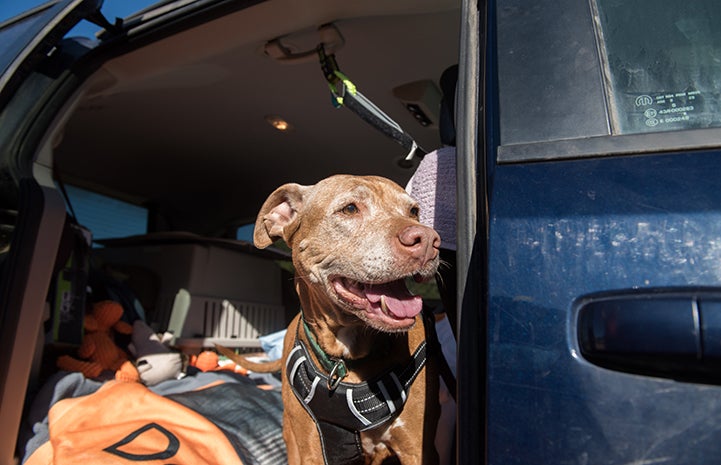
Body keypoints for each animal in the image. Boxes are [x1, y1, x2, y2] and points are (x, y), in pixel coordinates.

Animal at [222, 175, 442, 464]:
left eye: (414, 211)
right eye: (349, 209)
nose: (428, 240)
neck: (347, 360)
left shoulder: (417, 448)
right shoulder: (311, 451)